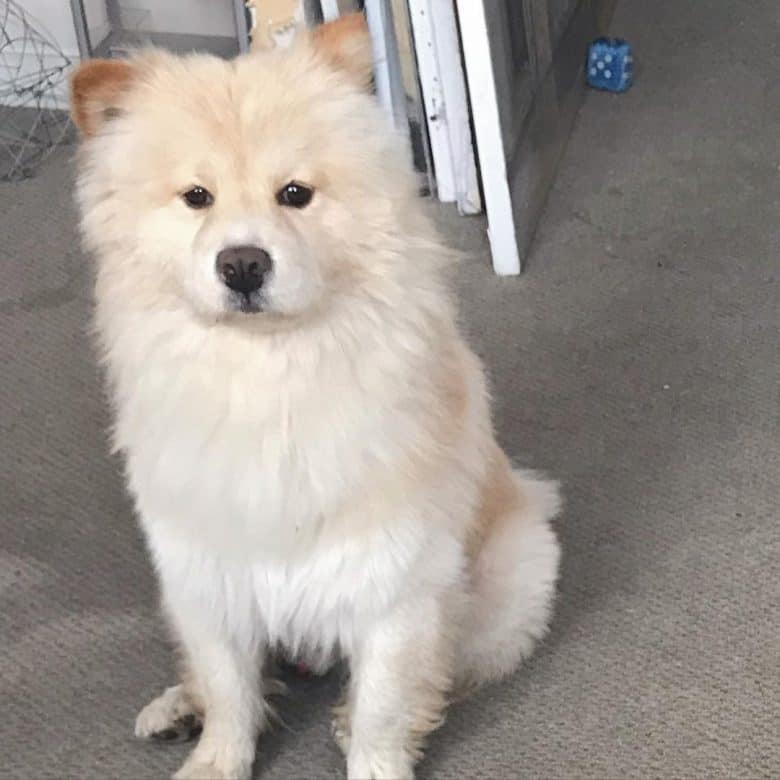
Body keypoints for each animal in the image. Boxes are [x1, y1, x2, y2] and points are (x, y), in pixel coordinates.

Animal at [68, 13, 560, 780]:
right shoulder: (205, 575)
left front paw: (370, 752)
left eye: (294, 194)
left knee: (441, 670)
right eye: (196, 198)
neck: (273, 376)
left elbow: (384, 706)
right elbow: (229, 691)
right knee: (220, 677)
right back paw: (176, 711)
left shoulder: (392, 584)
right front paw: (215, 759)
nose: (242, 264)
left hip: (514, 577)